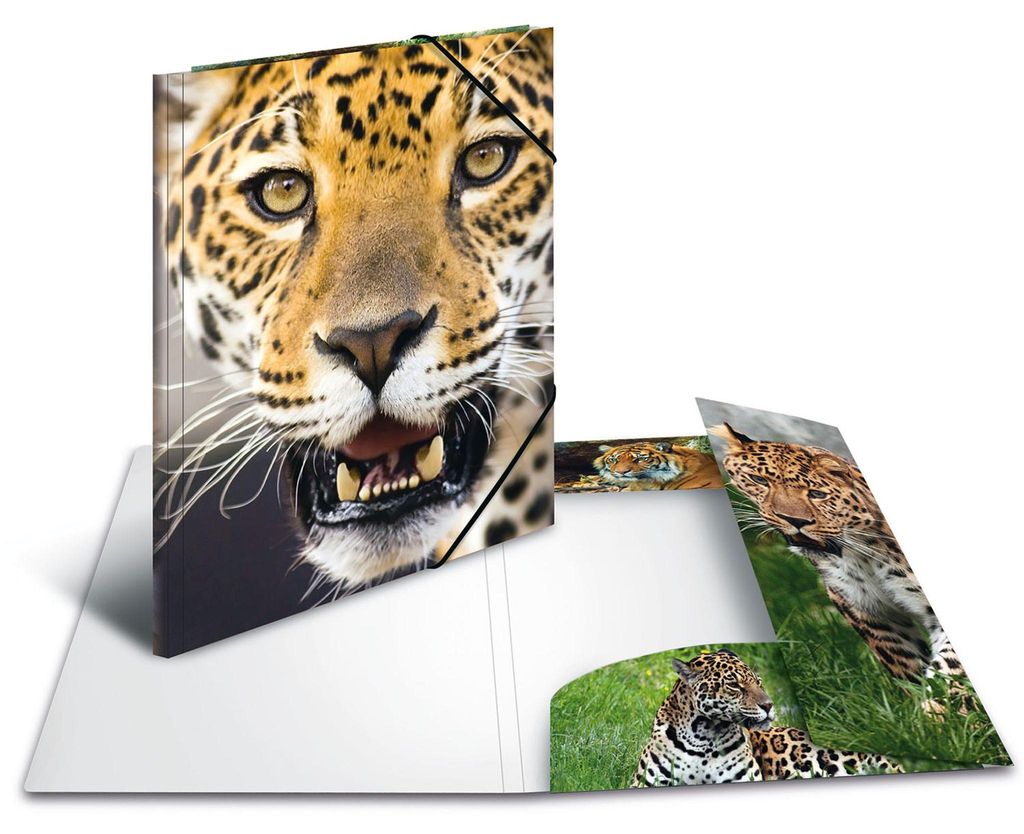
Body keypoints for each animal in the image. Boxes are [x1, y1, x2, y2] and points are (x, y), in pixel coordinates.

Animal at [709, 423, 968, 701]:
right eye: (759, 480)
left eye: (817, 494)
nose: (795, 521)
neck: (862, 554)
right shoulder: (867, 609)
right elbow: (904, 660)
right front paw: (920, 706)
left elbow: (951, 664)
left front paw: (944, 707)